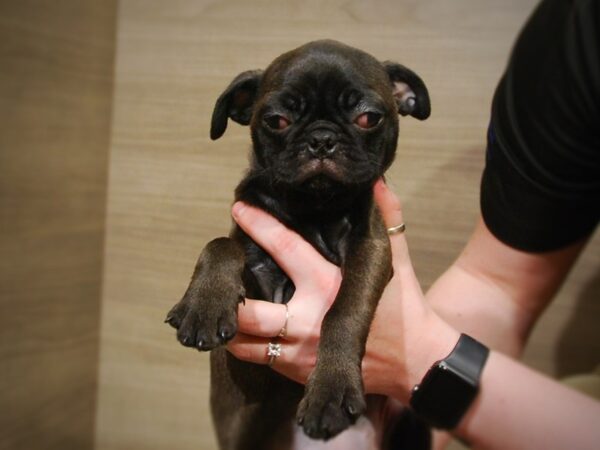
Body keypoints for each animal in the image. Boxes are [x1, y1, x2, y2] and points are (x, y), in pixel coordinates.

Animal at [165, 39, 432, 450]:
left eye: (369, 118)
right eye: (276, 120)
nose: (321, 140)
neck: (314, 210)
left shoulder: (371, 248)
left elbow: (345, 308)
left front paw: (331, 390)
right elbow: (221, 244)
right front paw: (204, 305)